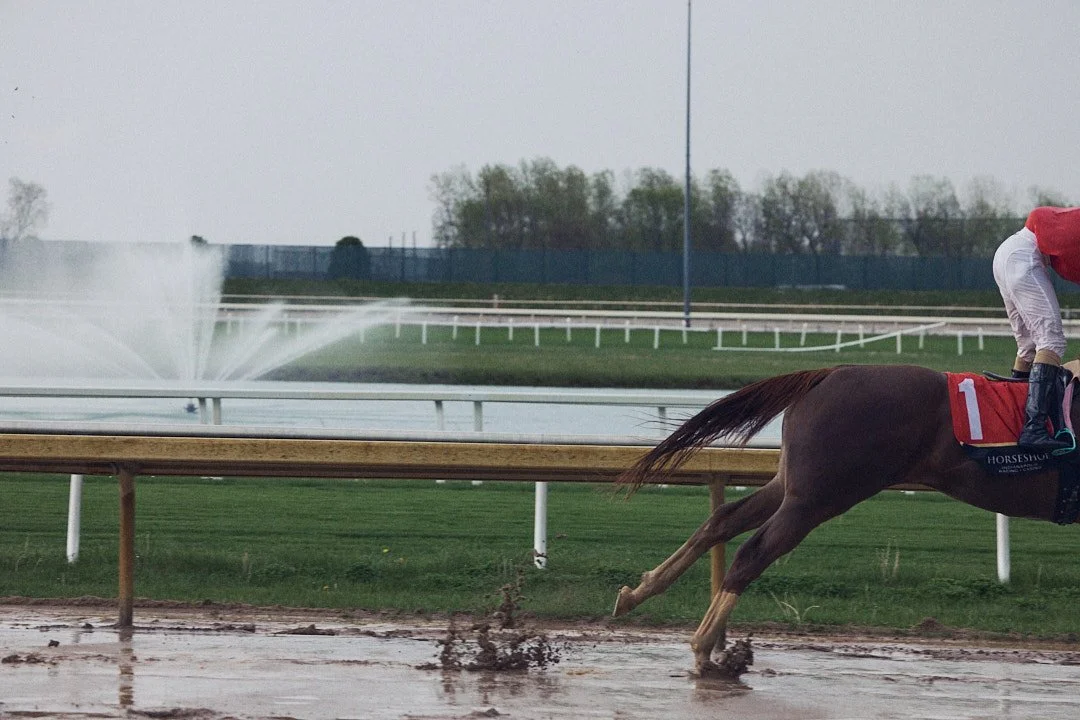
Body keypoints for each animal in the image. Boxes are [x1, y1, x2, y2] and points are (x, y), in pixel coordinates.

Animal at [611, 363, 1080, 676]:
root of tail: (829, 372)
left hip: (794, 485)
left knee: (722, 521)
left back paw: (639, 592)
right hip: (819, 496)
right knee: (753, 551)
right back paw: (706, 648)